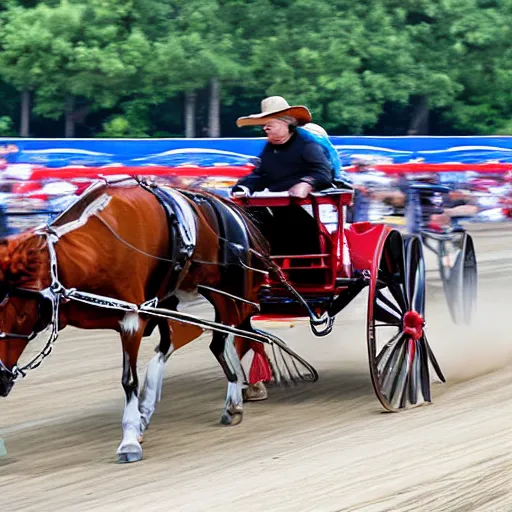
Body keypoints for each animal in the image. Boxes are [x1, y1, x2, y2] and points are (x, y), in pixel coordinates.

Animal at [0, 180, 272, 464]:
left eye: (21, 315)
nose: (0, 378)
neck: (99, 245)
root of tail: (230, 208)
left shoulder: (132, 318)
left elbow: (129, 380)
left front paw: (129, 440)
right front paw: (139, 420)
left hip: (224, 292)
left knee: (223, 338)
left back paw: (234, 397)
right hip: (172, 297)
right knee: (180, 343)